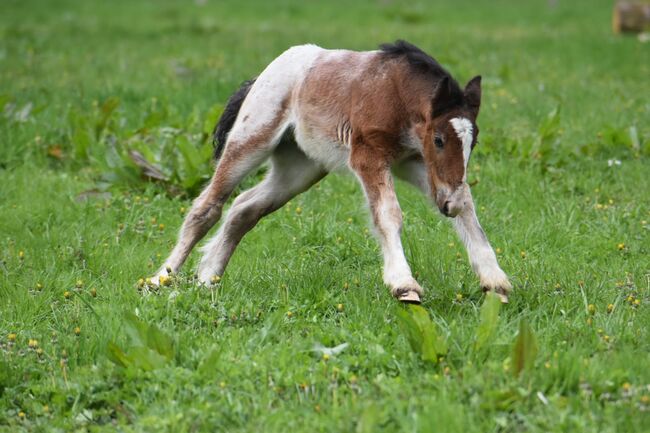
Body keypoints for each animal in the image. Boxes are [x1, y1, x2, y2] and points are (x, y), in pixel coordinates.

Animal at [152, 41, 512, 304]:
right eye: (438, 139)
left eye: (473, 141)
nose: (447, 205)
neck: (394, 91)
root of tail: (265, 74)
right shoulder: (369, 155)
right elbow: (388, 213)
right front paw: (403, 284)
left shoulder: (413, 161)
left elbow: (467, 207)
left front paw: (495, 281)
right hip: (251, 139)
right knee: (207, 206)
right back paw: (160, 278)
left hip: (300, 169)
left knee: (244, 208)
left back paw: (208, 277)